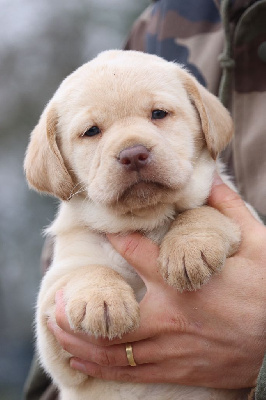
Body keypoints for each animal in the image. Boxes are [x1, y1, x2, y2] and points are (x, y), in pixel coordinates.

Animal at [23, 50, 246, 400]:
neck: (147, 221)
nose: (133, 154)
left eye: (158, 114)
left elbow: (202, 213)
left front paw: (188, 249)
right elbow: (86, 270)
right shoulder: (54, 323)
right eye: (91, 131)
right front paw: (101, 299)